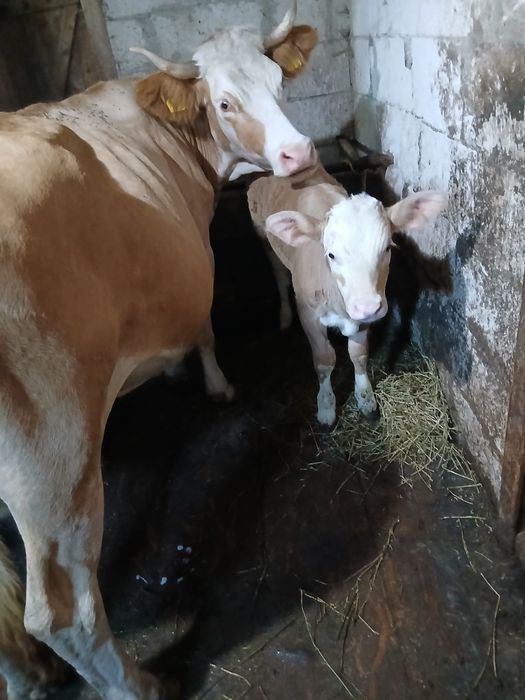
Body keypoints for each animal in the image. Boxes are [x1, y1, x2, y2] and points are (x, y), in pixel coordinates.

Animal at [0, 4, 319, 699]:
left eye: (278, 82)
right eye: (224, 102)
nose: (298, 152)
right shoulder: (196, 251)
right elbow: (201, 327)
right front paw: (210, 383)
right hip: (53, 455)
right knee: (64, 611)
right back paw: (141, 684)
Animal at [247, 162, 447, 426]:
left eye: (387, 248)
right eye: (331, 255)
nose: (368, 307)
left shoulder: (362, 318)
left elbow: (359, 355)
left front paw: (365, 399)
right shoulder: (309, 314)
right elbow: (324, 359)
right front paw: (325, 407)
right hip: (265, 239)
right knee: (279, 275)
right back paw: (285, 317)